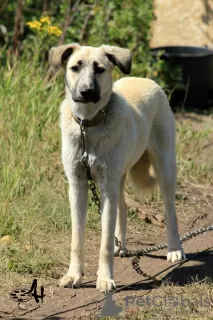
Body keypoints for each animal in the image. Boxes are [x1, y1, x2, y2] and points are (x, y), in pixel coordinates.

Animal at [49, 43, 185, 292]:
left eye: (99, 69)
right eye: (75, 67)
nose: (86, 92)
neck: (87, 127)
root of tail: (146, 79)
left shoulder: (106, 186)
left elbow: (103, 243)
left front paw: (104, 278)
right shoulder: (78, 186)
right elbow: (77, 239)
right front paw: (74, 275)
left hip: (164, 169)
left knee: (170, 212)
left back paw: (174, 249)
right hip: (118, 178)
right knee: (121, 207)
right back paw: (120, 245)